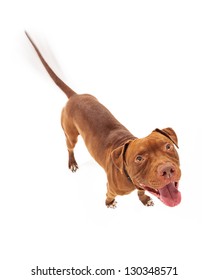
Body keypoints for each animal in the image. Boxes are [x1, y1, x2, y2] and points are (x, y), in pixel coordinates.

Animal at [25, 32, 182, 208]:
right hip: (70, 135)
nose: (167, 170)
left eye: (168, 146)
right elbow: (109, 196)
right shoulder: (111, 188)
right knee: (69, 147)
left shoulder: (141, 186)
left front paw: (144, 199)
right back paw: (72, 163)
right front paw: (109, 203)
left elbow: (141, 191)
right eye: (139, 158)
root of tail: (74, 96)